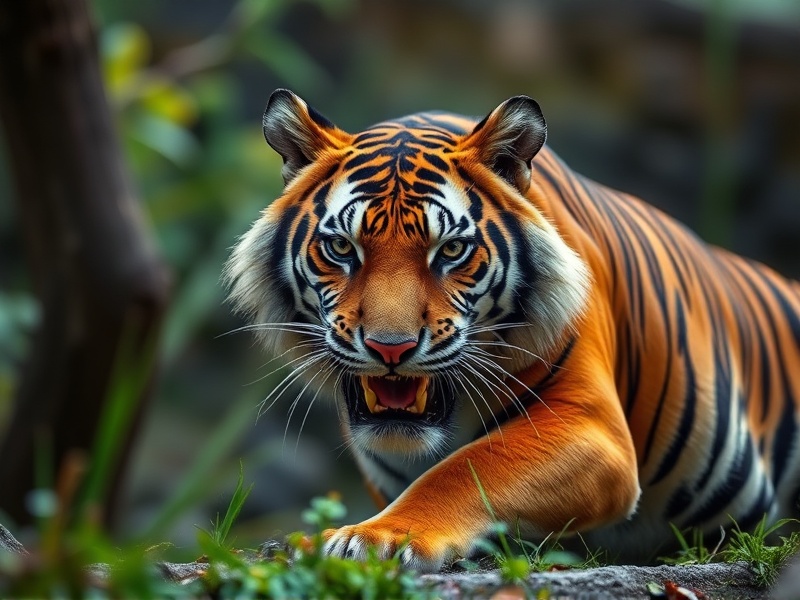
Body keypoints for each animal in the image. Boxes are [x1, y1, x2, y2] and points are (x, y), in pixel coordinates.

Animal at [225, 88, 800, 572]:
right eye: (342, 247)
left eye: (451, 251)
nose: (391, 348)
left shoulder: (590, 425)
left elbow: (466, 468)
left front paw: (376, 538)